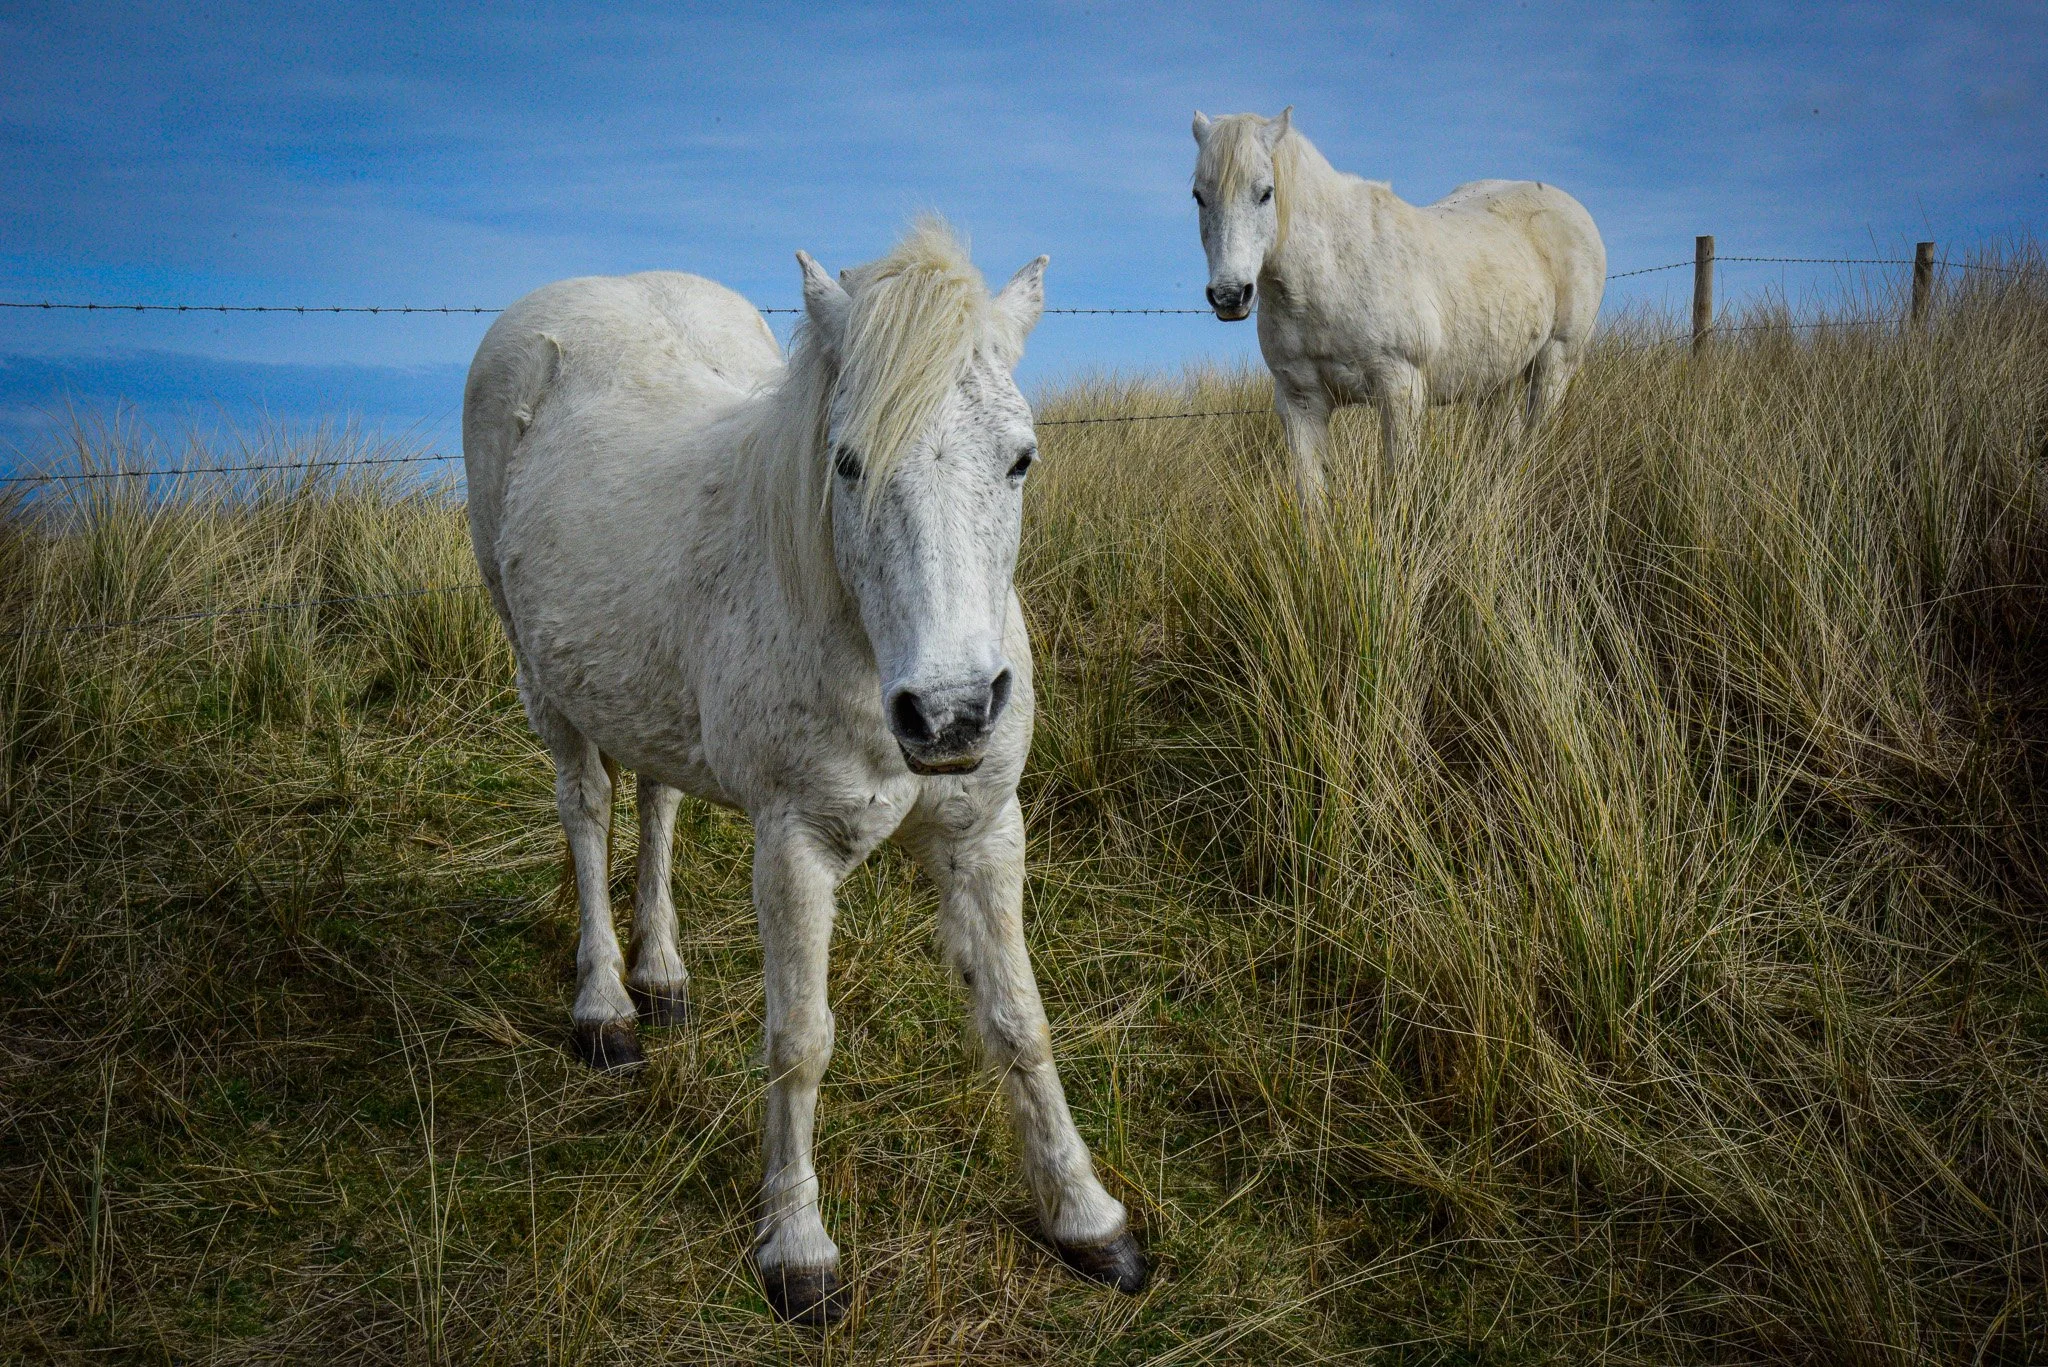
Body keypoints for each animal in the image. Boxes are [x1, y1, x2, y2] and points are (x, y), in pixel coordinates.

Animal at [461, 219, 1148, 1323]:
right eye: (848, 463)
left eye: (1020, 459)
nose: (951, 710)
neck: (865, 644)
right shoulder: (794, 848)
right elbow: (800, 1039)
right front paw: (797, 1247)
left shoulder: (984, 831)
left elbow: (1019, 1021)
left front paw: (1088, 1219)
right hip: (543, 680)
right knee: (589, 807)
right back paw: (607, 1007)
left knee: (654, 800)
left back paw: (662, 972)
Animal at [1190, 107, 1606, 502]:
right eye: (1199, 196)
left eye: (1265, 193)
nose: (1229, 294)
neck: (1330, 273)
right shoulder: (1300, 402)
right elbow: (1312, 500)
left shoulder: (1400, 391)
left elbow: (1399, 485)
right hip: (1498, 379)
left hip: (1556, 362)